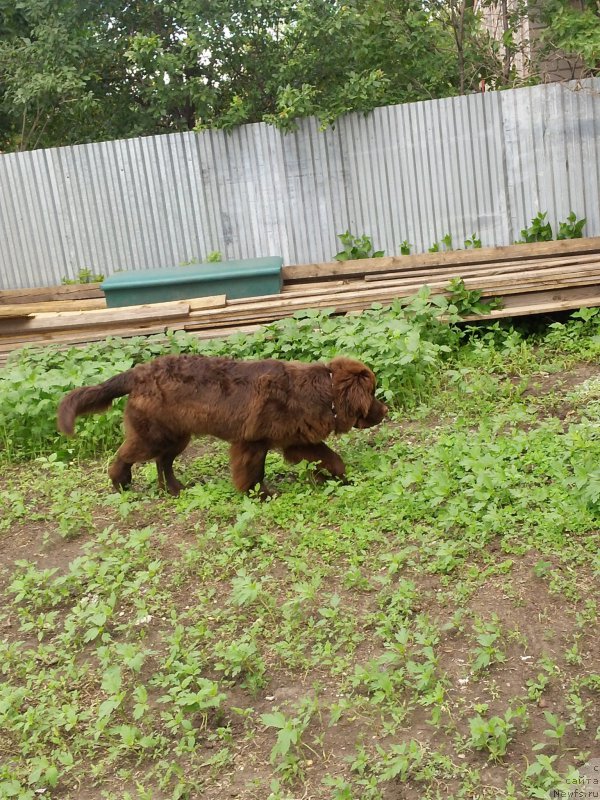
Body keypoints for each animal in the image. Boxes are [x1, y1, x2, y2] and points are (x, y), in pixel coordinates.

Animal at [57, 354, 390, 496]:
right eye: (373, 393)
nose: (385, 410)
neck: (324, 391)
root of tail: (136, 373)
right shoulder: (252, 443)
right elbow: (253, 473)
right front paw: (260, 495)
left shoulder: (296, 439)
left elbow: (331, 458)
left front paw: (339, 479)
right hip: (152, 433)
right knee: (125, 456)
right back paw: (121, 483)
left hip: (177, 435)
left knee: (163, 462)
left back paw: (174, 489)